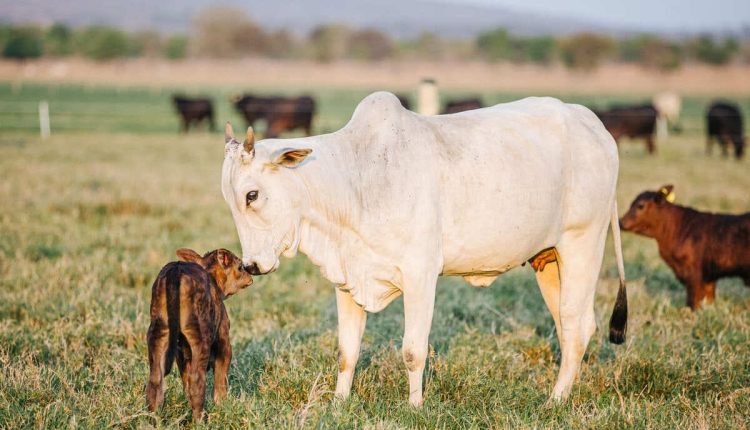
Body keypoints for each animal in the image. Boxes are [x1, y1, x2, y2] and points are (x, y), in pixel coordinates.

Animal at [146, 249, 253, 420]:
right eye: (240, 267)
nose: (250, 276)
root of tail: (176, 270)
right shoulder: (224, 341)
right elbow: (221, 378)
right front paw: (222, 405)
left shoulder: (180, 351)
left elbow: (186, 380)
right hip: (199, 335)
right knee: (197, 380)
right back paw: (200, 420)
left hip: (158, 332)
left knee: (155, 380)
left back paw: (153, 419)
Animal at [222, 91, 628, 406]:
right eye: (230, 199)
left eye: (252, 195)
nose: (252, 265)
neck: (358, 180)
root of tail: (594, 125)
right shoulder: (348, 279)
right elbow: (346, 352)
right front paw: (339, 402)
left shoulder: (420, 276)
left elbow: (413, 351)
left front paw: (415, 407)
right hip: (549, 260)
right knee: (566, 327)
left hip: (582, 243)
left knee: (576, 325)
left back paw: (554, 401)